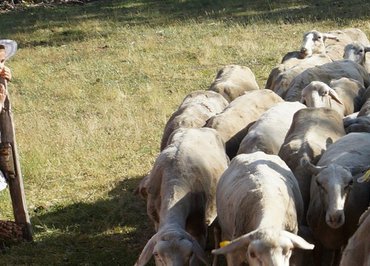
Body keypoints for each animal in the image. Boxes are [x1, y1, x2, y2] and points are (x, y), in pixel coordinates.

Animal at [134, 128, 230, 264]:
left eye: (190, 254)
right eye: (156, 254)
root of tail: (198, 129)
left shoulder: (198, 230)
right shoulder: (157, 223)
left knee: (217, 233)